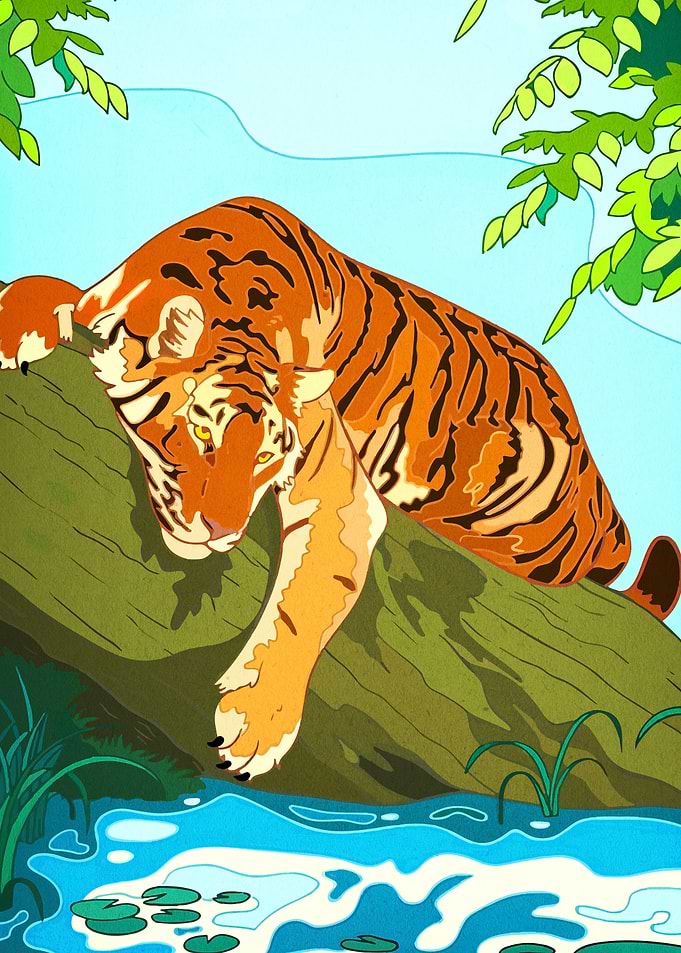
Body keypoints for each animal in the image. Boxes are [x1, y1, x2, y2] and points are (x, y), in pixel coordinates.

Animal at [1, 196, 680, 782]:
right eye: (201, 430)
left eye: (266, 456)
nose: (223, 531)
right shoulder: (97, 295)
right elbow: (40, 286)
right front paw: (17, 329)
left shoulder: (340, 493)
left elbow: (305, 602)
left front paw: (256, 724)